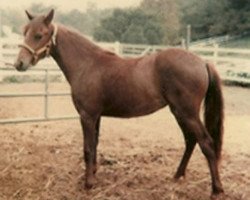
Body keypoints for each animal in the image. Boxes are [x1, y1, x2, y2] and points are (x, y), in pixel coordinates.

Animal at [13, 9, 225, 198]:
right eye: (25, 32)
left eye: (39, 35)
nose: (19, 64)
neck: (87, 64)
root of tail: (203, 62)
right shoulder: (96, 116)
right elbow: (94, 144)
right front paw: (94, 174)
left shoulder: (87, 116)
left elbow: (88, 148)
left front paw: (88, 184)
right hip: (179, 112)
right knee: (191, 141)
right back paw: (177, 175)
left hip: (187, 113)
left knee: (206, 143)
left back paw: (216, 189)